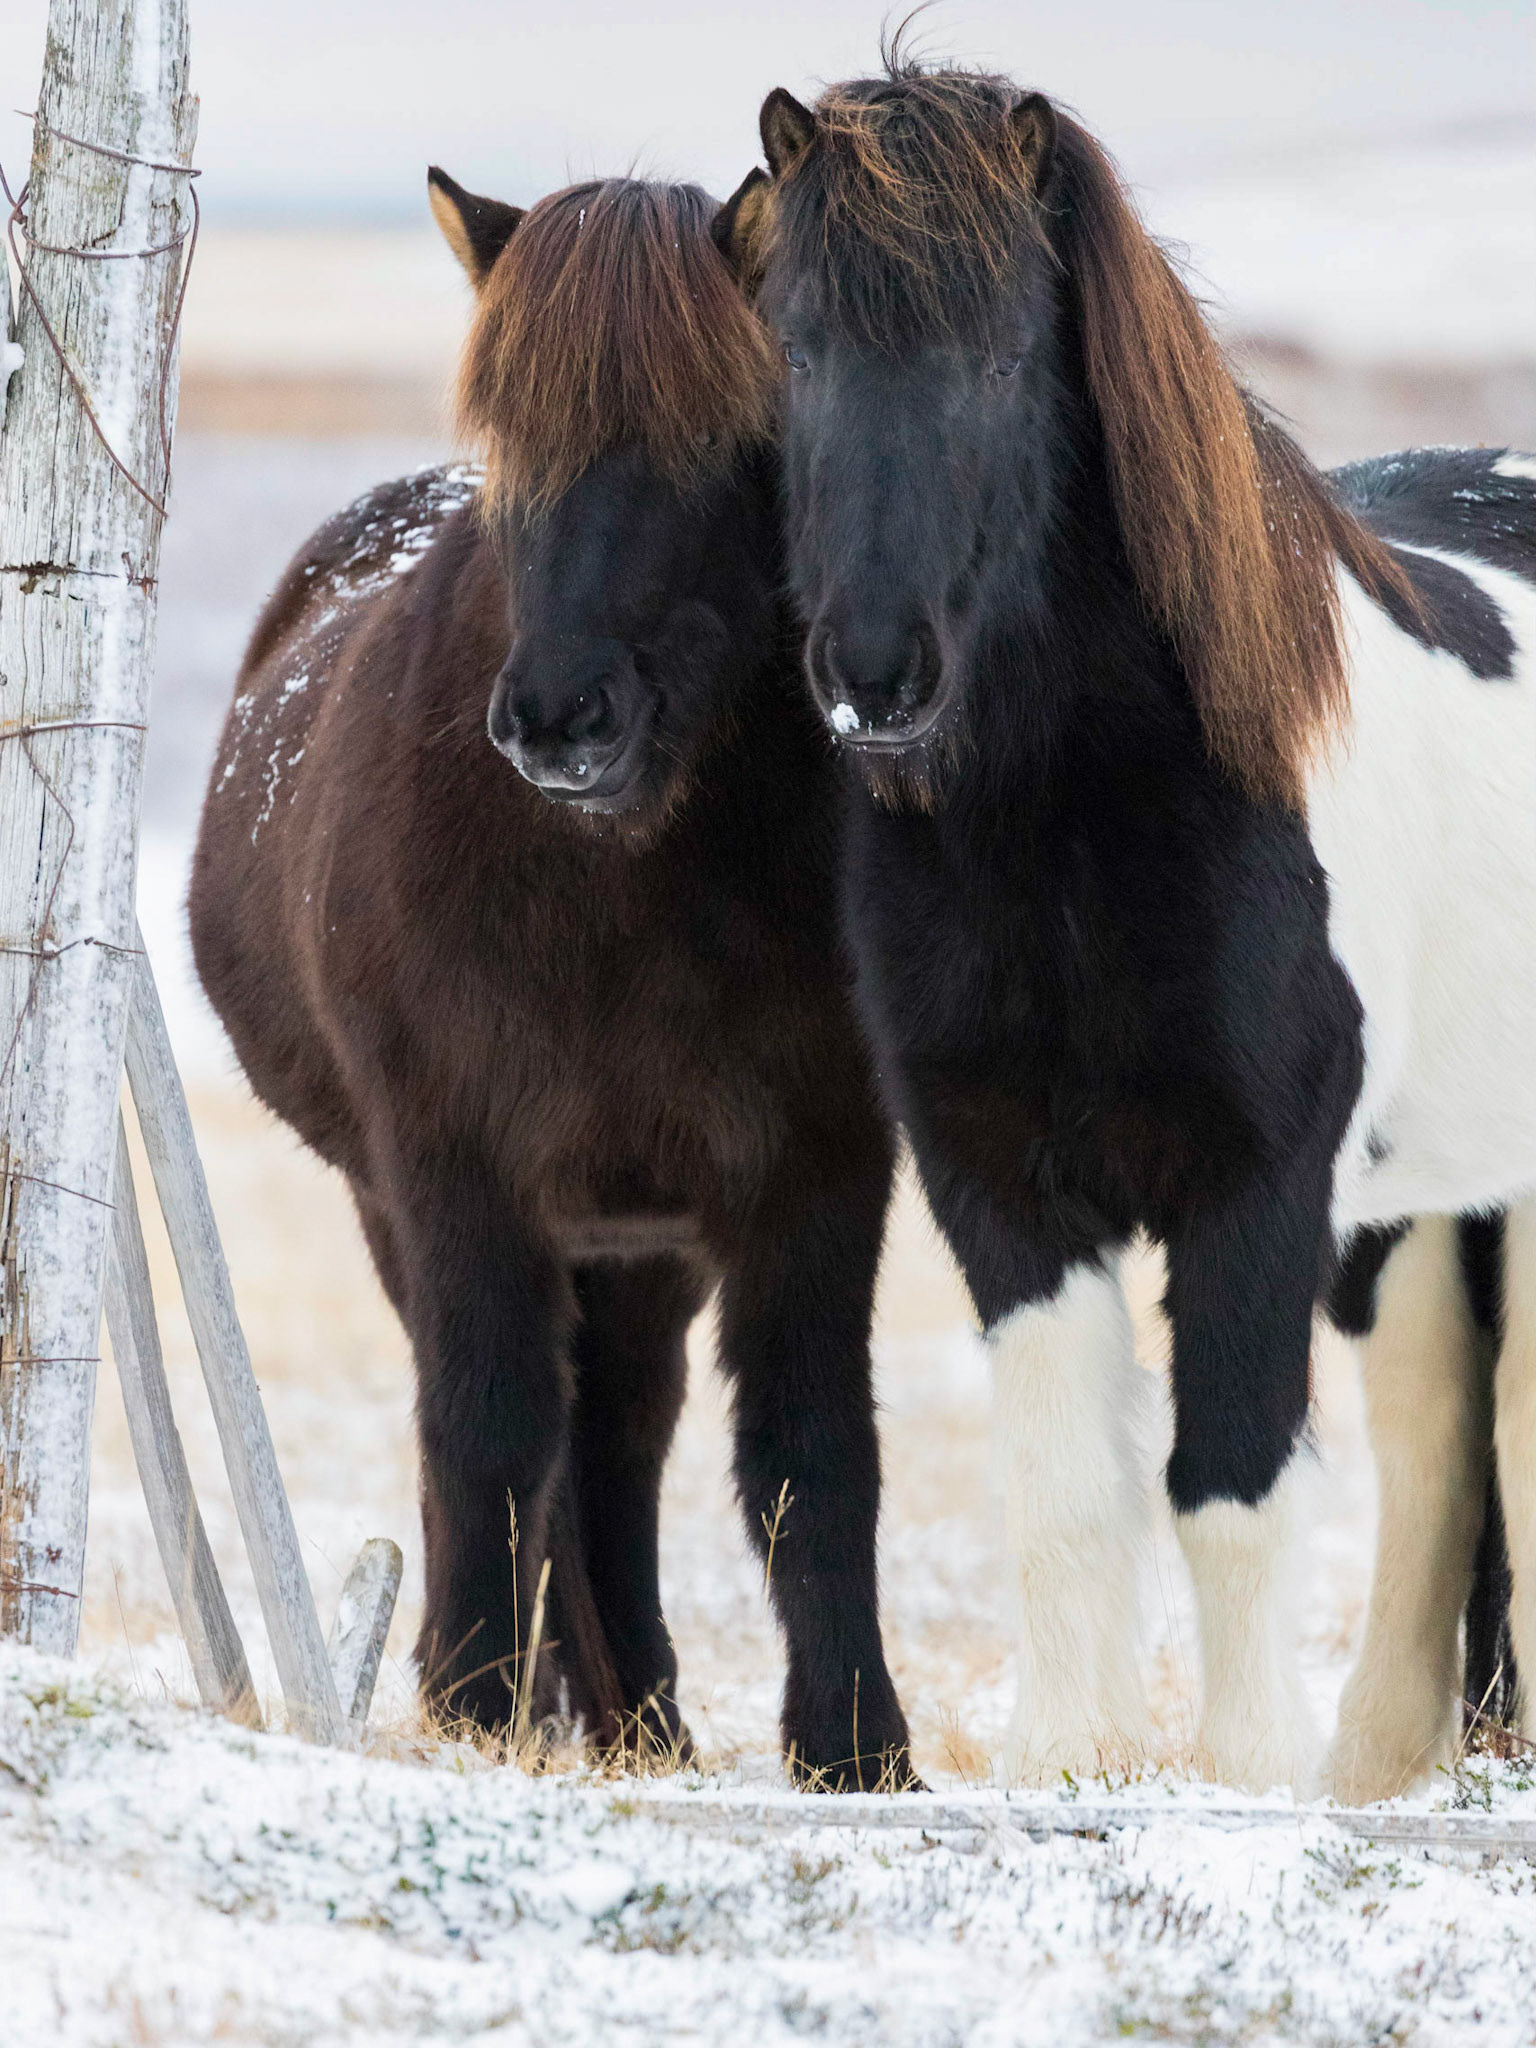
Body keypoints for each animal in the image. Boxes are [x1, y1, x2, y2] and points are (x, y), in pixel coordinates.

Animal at [189, 171, 918, 1789]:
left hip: (642, 1242)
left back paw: (638, 1712)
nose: (556, 717)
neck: (617, 893)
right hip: (420, 1209)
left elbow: (810, 1455)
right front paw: (471, 1704)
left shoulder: (814, 1177)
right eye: (510, 450)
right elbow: (486, 1431)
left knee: (619, 1445)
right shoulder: (458, 1169)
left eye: (715, 447)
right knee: (533, 1440)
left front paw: (856, 1744)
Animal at [713, 57, 1536, 1793]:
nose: (875, 675)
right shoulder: (1001, 1188)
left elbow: (1229, 1483)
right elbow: (1070, 1491)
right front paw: (1074, 1759)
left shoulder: (1261, 1188)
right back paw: (1382, 1758)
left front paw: (1245, 1776)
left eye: (1007, 354)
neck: (1088, 835)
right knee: (1448, 1434)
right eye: (798, 347)